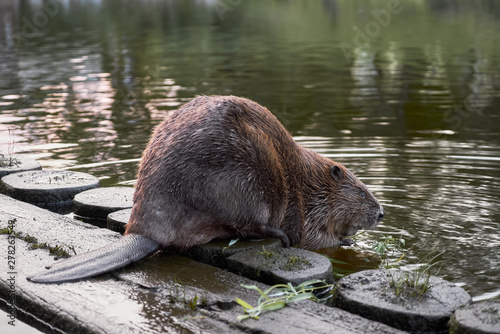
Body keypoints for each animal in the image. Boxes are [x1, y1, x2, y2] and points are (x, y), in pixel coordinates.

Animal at [28, 95, 382, 284]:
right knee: (252, 226)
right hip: (243, 185)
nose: (381, 212)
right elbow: (314, 238)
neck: (309, 183)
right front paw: (346, 240)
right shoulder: (304, 210)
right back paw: (277, 236)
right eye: (362, 193)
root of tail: (142, 232)